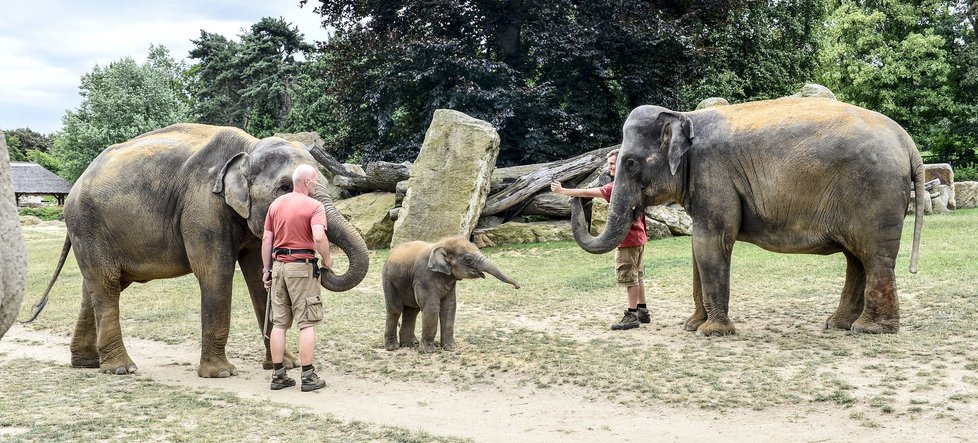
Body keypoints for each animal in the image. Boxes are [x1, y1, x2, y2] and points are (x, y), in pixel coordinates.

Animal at [28, 124, 370, 378]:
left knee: (95, 287)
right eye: (285, 187)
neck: (249, 147)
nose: (323, 264)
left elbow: (262, 276)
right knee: (106, 284)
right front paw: (221, 374)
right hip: (88, 226)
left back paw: (87, 364)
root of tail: (75, 185)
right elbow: (215, 273)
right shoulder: (202, 205)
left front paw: (285, 364)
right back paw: (121, 369)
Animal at [382, 236, 520, 354]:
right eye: (469, 259)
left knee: (412, 310)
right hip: (388, 280)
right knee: (395, 309)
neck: (441, 244)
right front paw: (429, 351)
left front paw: (451, 348)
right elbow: (431, 307)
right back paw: (393, 347)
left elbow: (449, 307)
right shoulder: (424, 277)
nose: (517, 286)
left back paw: (410, 344)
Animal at [564, 98, 924, 336]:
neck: (686, 116)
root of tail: (908, 143)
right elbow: (698, 250)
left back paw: (870, 329)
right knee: (856, 259)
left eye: (630, 163)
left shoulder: (714, 176)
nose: (573, 191)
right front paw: (691, 326)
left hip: (874, 194)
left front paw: (712, 332)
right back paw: (839, 325)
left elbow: (710, 243)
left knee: (873, 257)